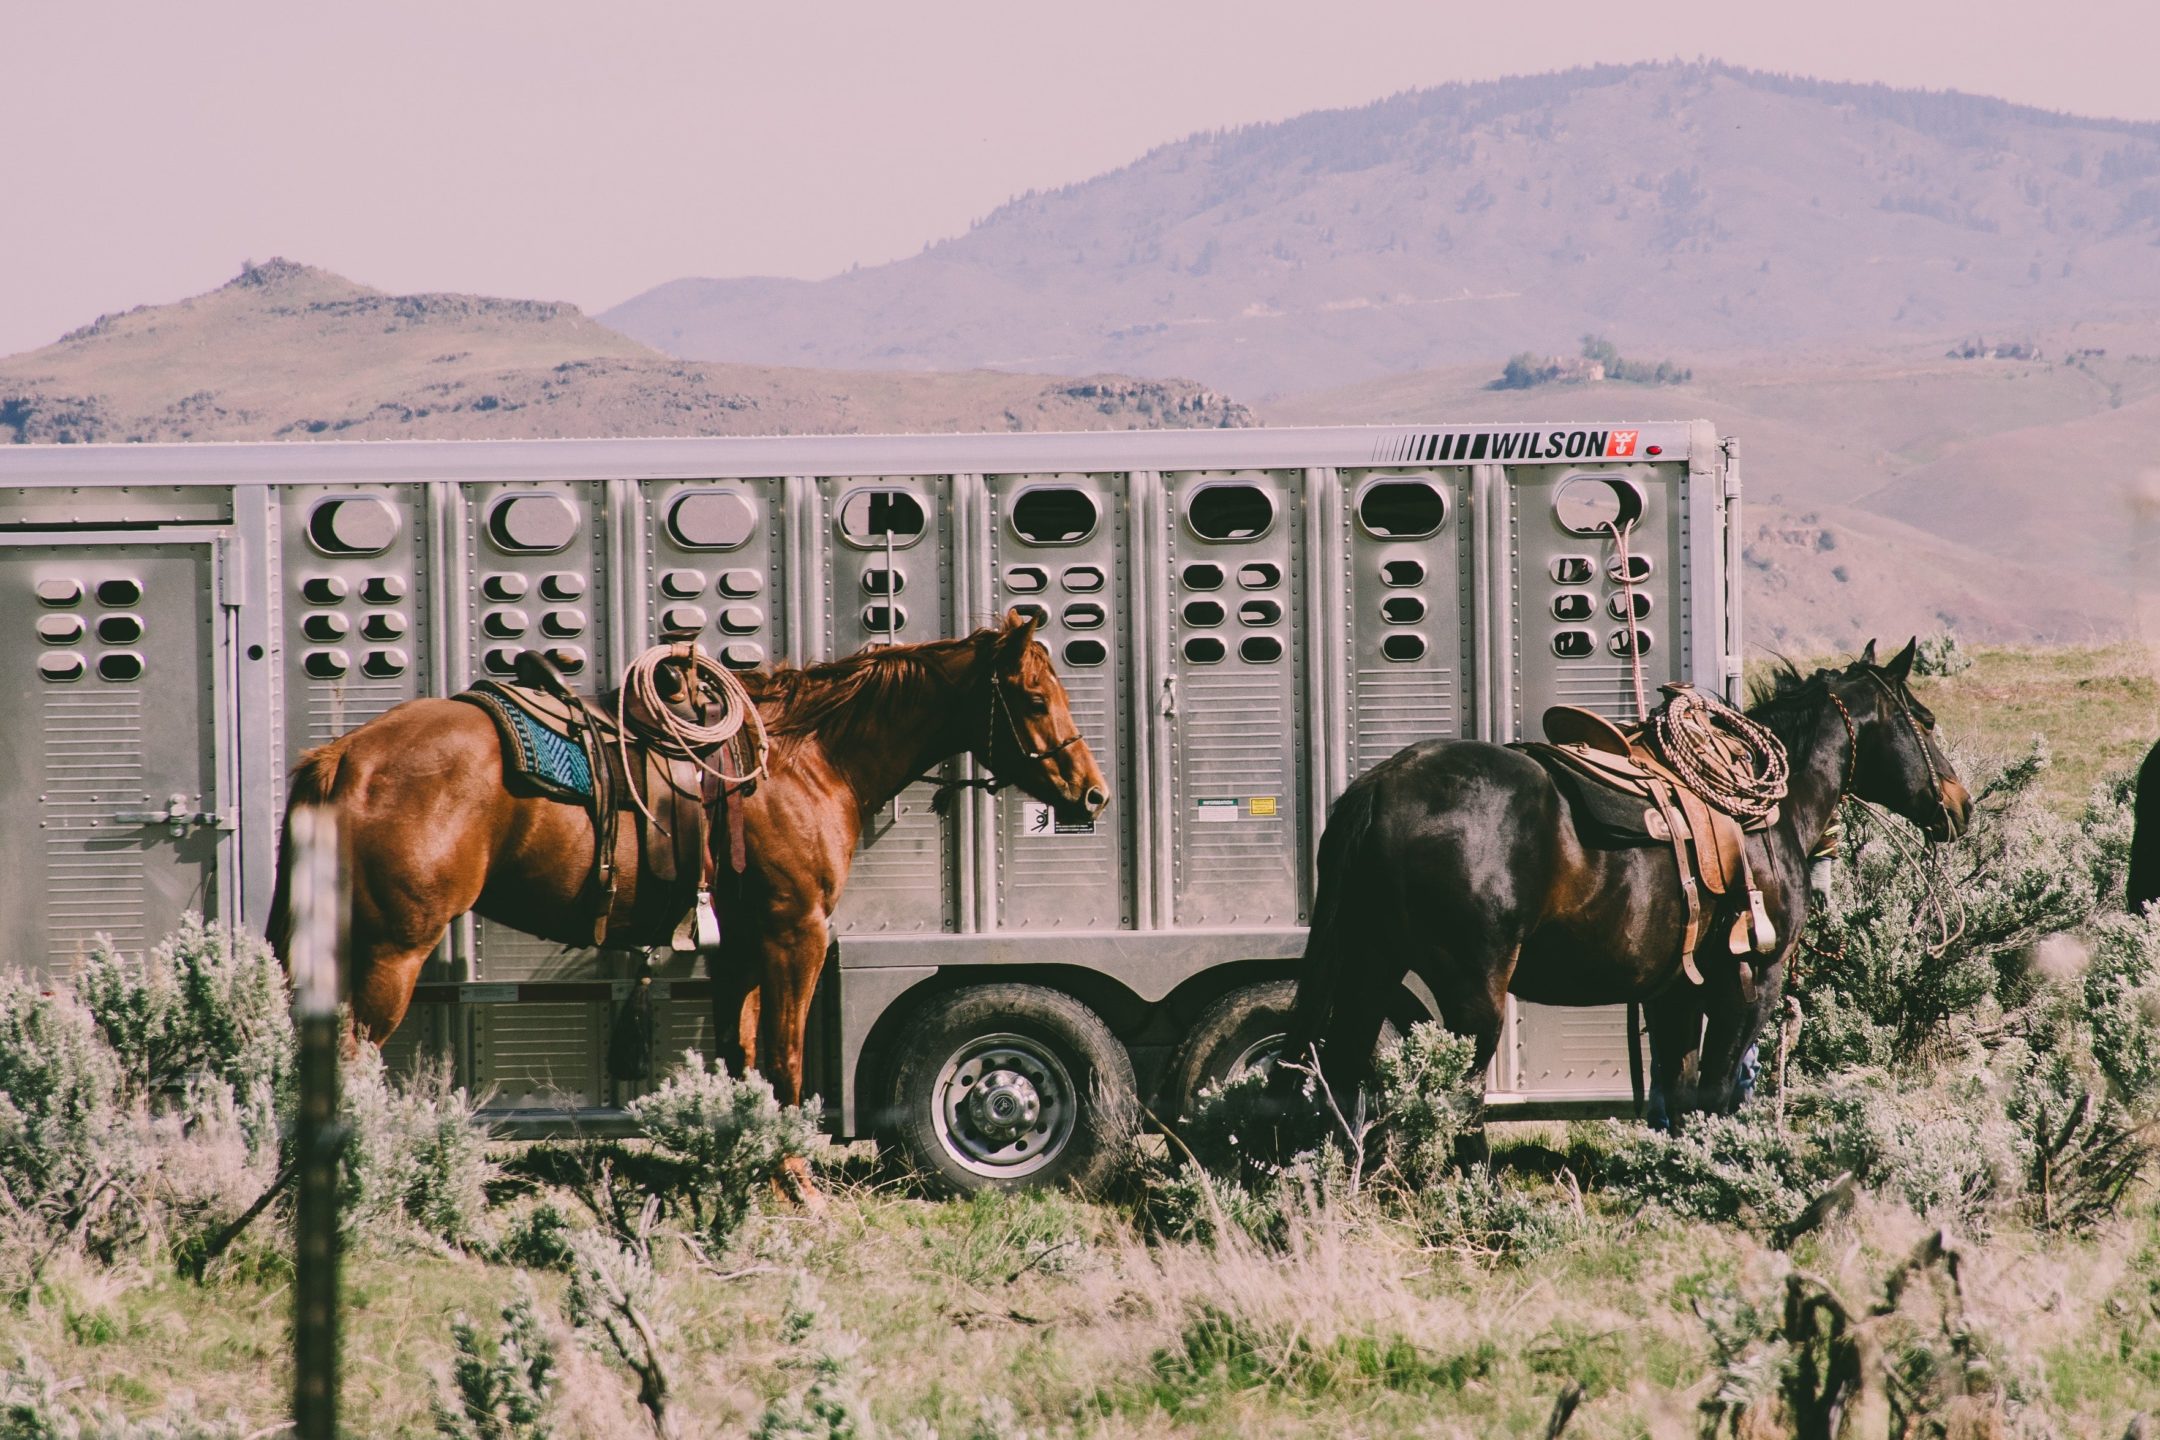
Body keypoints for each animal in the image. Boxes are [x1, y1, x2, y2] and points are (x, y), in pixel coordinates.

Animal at [270, 608, 1105, 1114]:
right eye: (1033, 698)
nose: (1091, 792)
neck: (806, 760)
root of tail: (343, 760)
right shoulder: (797, 932)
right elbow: (787, 1060)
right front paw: (801, 1190)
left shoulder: (738, 946)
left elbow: (744, 1056)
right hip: (392, 951)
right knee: (349, 1060)